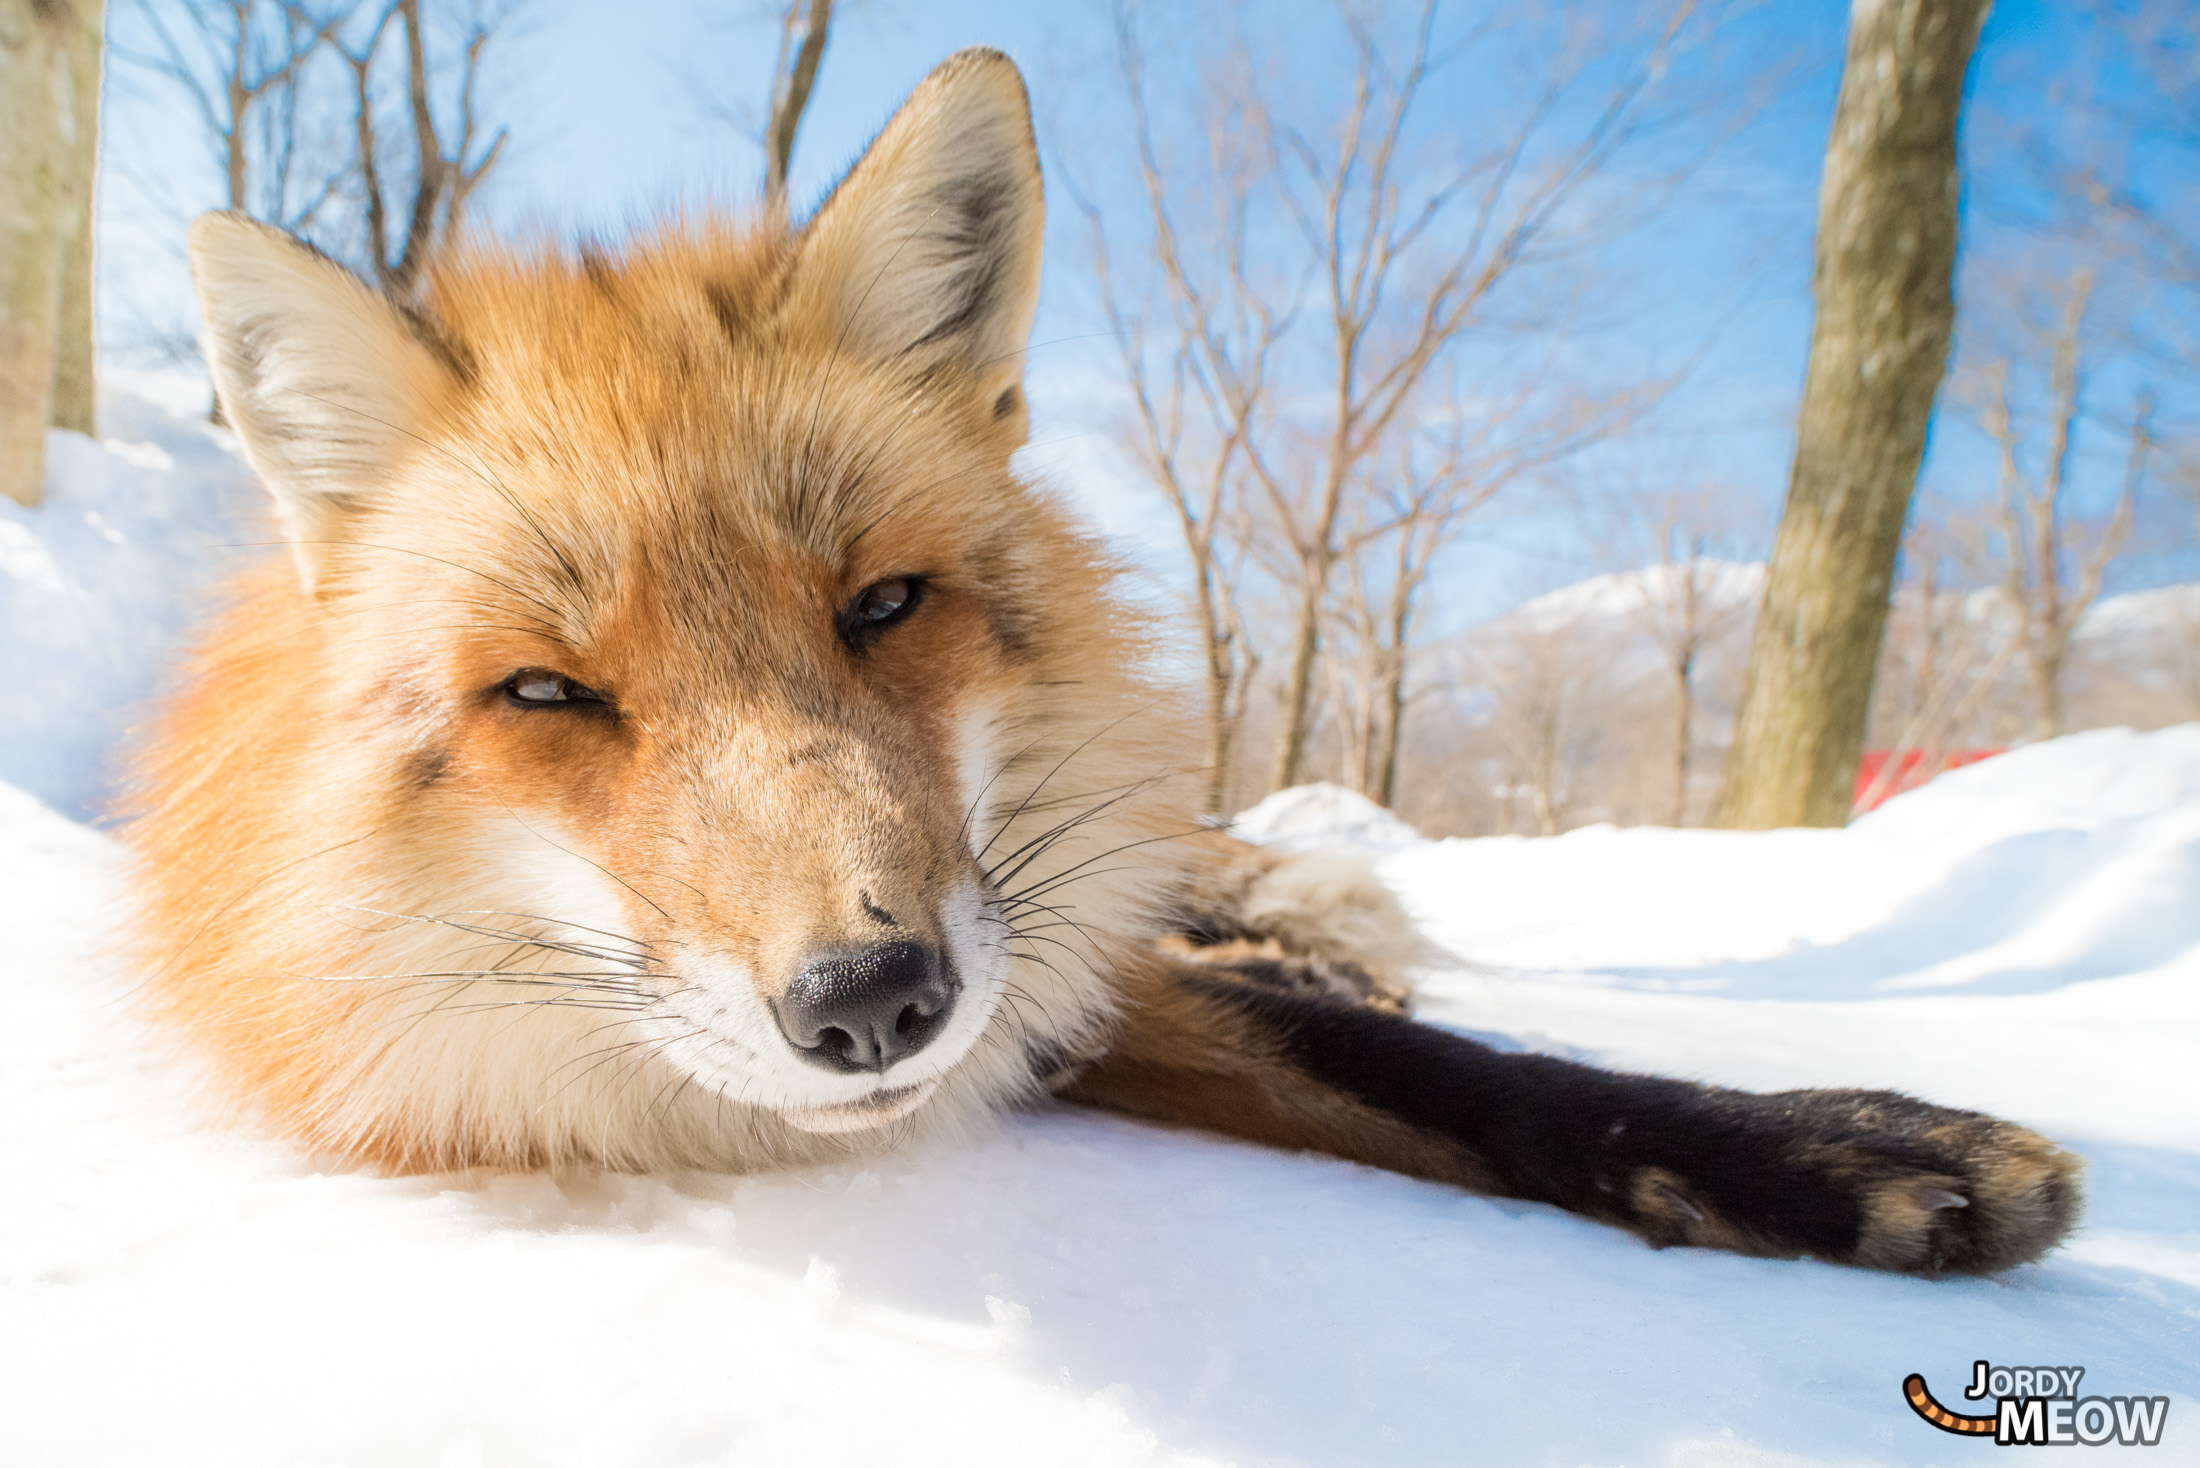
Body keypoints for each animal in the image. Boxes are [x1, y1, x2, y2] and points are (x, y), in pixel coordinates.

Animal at [133, 48, 2076, 1276]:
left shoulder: (1050, 963)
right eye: (549, 694)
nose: (871, 1001)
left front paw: (1844, 1152)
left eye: (882, 605)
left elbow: (1442, 1071)